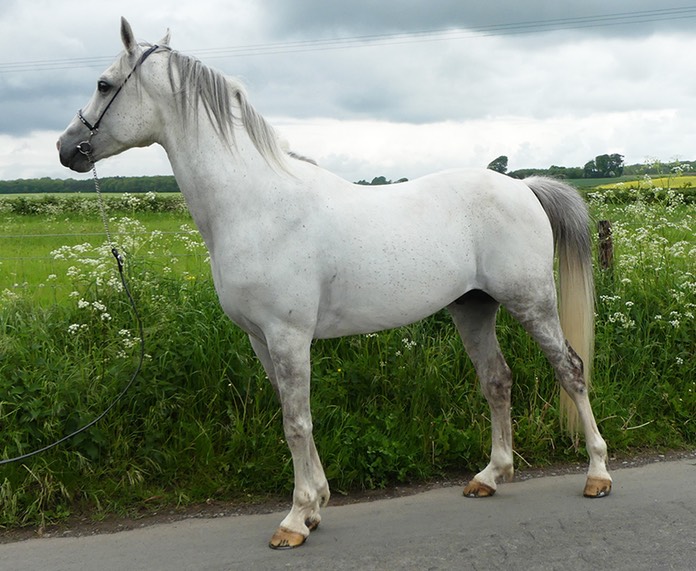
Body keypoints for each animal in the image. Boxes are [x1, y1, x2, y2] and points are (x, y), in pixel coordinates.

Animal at [58, 19, 616, 548]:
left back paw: (597, 473)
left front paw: (295, 519)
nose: (66, 149)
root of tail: (523, 187)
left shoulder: (288, 337)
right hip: (473, 307)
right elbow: (293, 418)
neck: (255, 204)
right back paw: (490, 476)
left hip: (531, 303)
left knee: (570, 371)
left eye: (104, 84)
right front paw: (315, 506)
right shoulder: (262, 340)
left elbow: (296, 423)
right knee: (497, 381)